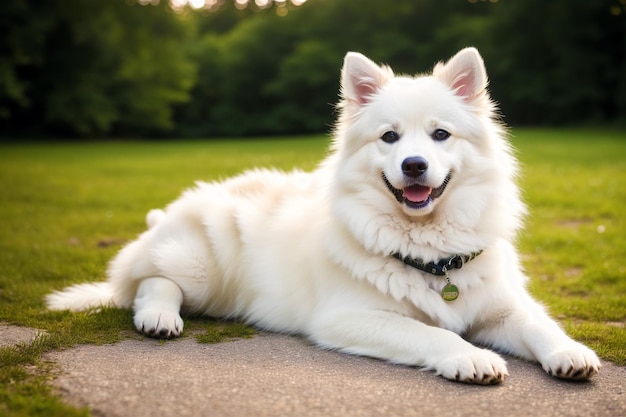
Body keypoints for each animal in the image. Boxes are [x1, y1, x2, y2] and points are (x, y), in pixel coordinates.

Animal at [46, 48, 596, 384]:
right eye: (389, 137)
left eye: (440, 135)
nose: (414, 166)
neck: (429, 253)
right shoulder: (348, 318)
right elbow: (431, 332)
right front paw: (471, 356)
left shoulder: (501, 306)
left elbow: (538, 324)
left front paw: (570, 353)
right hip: (201, 267)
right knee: (148, 281)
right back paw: (159, 315)